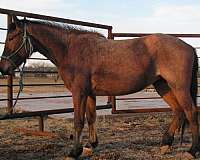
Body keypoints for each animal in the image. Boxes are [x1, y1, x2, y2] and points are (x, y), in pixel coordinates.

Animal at [0, 15, 199, 158]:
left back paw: (192, 150)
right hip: (162, 86)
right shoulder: (89, 93)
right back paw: (165, 144)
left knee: (190, 111)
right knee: (178, 111)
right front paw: (90, 146)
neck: (70, 50)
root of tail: (189, 46)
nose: (3, 68)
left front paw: (74, 152)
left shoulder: (79, 93)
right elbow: (91, 118)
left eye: (11, 37)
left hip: (178, 87)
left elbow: (78, 121)